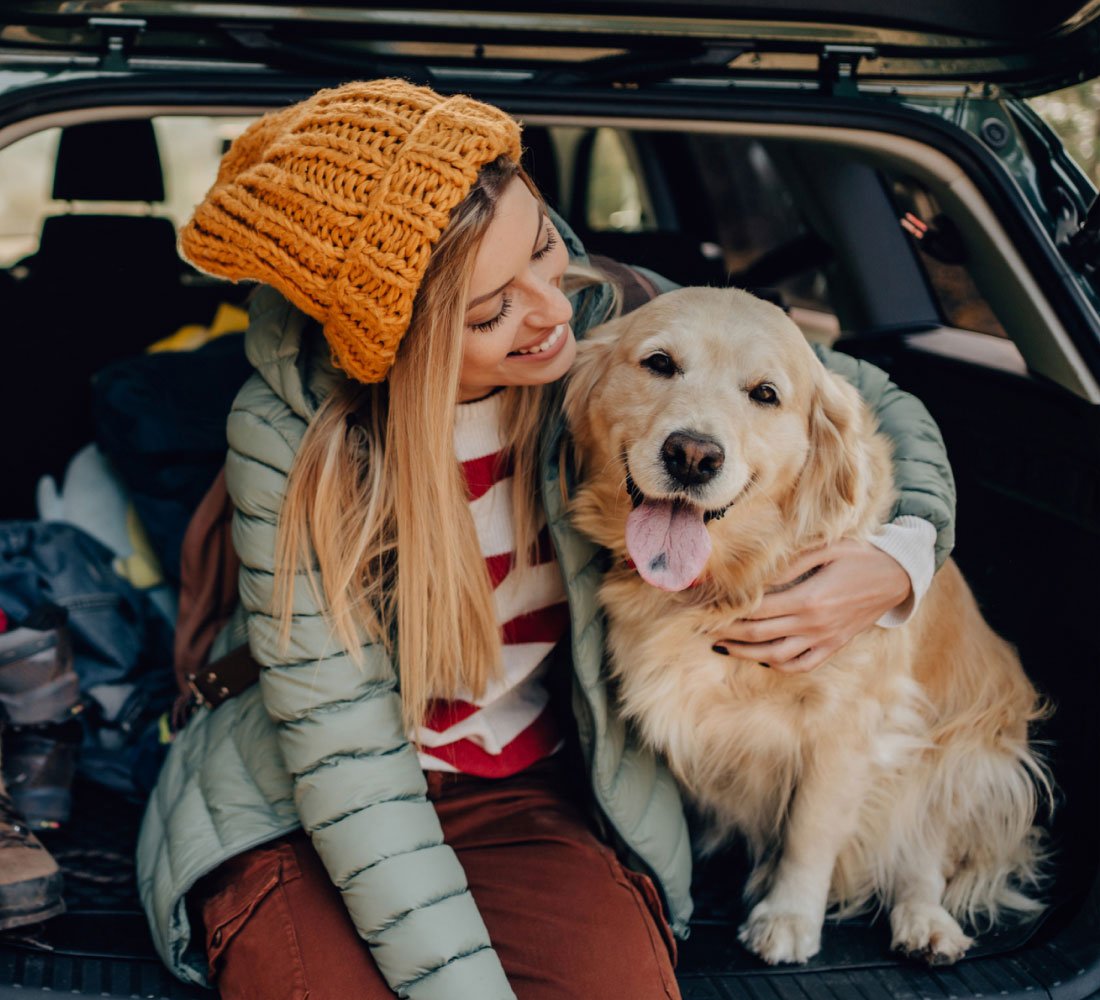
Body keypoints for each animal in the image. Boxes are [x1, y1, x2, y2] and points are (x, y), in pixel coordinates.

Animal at [563, 286, 1051, 968]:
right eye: (659, 363)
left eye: (766, 394)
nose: (693, 455)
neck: (730, 580)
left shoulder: (851, 724)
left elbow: (811, 831)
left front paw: (789, 918)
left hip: (960, 754)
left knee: (922, 849)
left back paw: (926, 924)